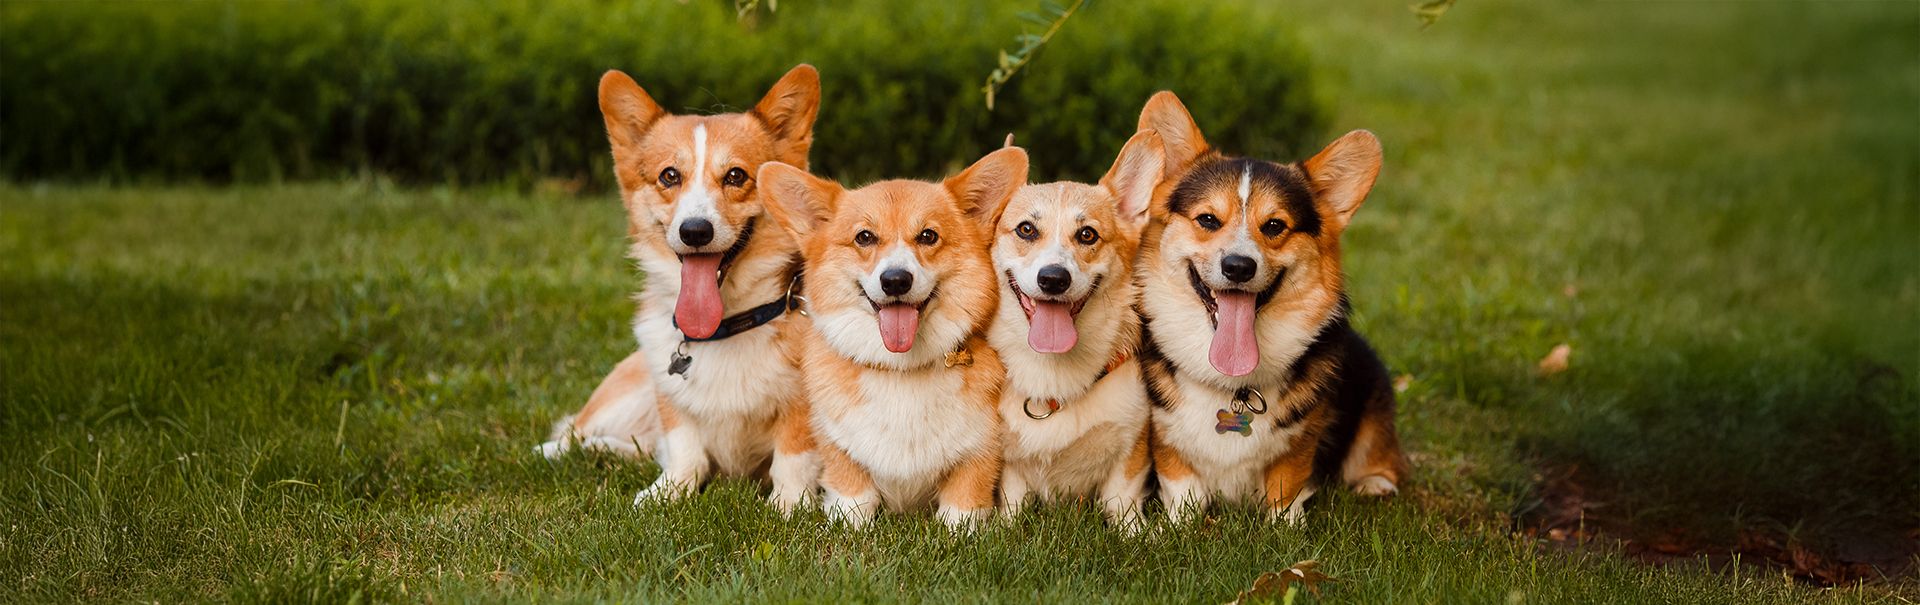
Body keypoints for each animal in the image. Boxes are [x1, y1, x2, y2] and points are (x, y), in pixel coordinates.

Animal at [537, 65, 821, 510]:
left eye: (736, 176)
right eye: (669, 176)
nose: (695, 231)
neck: (725, 328)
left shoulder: (802, 408)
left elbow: (792, 455)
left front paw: (789, 505)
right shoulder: (670, 400)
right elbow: (684, 448)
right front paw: (668, 493)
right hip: (628, 392)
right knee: (577, 429)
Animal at [760, 147, 1036, 530]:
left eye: (928, 236)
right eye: (864, 237)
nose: (895, 280)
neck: (901, 370)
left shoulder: (981, 450)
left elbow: (963, 505)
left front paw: (960, 532)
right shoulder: (839, 449)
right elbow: (852, 496)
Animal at [998, 132, 1159, 530]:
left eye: (1087, 234)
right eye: (1026, 229)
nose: (1054, 278)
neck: (1053, 372)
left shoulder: (1130, 448)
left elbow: (1122, 502)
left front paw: (1136, 533)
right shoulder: (1007, 465)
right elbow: (1011, 502)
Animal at [1128, 91, 1405, 526]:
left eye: (1275, 226)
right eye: (1208, 219)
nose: (1239, 266)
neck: (1231, 385)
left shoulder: (1301, 440)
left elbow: (1285, 485)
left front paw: (1284, 529)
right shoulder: (1166, 436)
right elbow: (1182, 484)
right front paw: (1176, 526)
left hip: (1372, 393)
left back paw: (1375, 484)